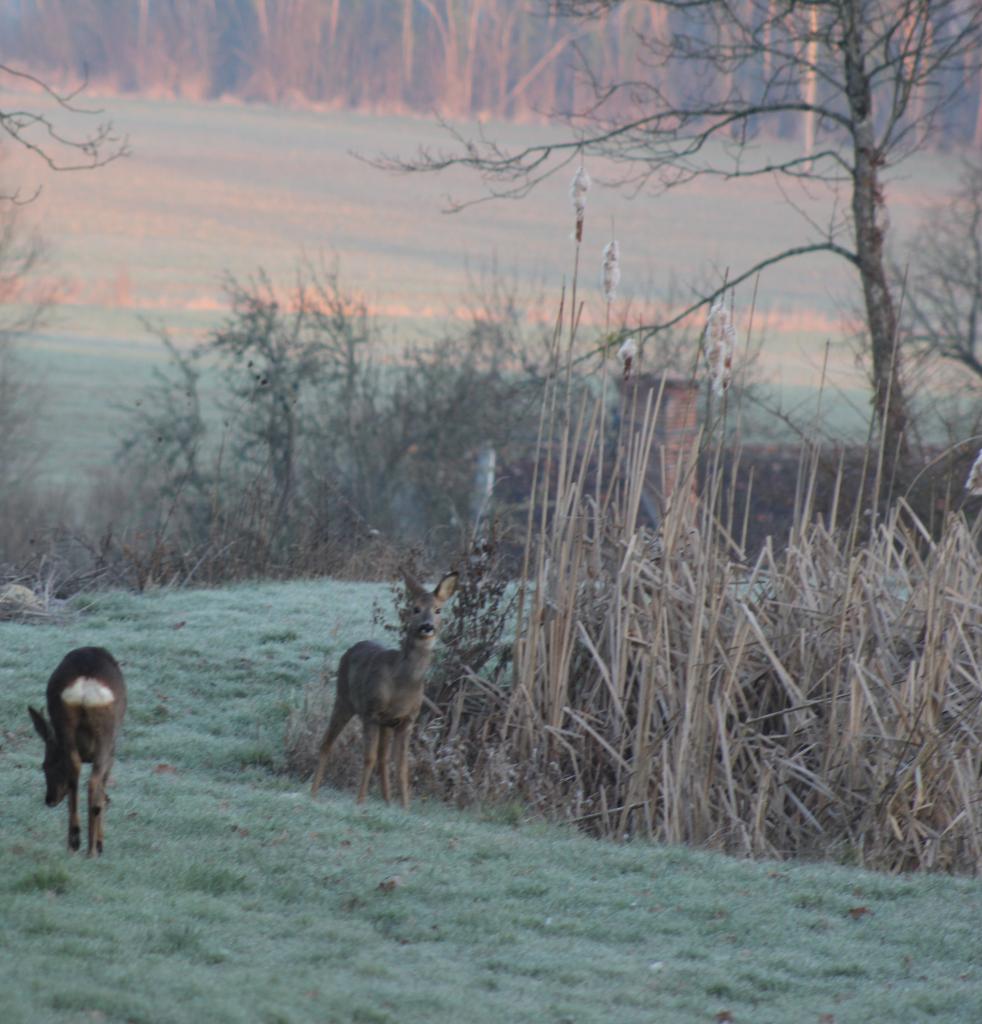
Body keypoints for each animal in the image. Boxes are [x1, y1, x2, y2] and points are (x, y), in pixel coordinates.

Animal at [28, 647, 127, 856]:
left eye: (44, 765)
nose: (49, 799)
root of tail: (86, 686)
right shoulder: (112, 754)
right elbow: (104, 791)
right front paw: (100, 842)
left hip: (65, 721)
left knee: (74, 770)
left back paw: (74, 840)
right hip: (106, 735)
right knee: (94, 786)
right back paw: (91, 849)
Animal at [309, 569, 458, 806]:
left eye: (438, 609)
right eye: (415, 608)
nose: (427, 626)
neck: (402, 683)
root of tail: (352, 648)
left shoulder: (407, 719)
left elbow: (402, 765)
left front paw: (405, 807)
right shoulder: (371, 711)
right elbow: (368, 758)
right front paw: (359, 801)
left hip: (386, 723)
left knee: (382, 758)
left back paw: (388, 802)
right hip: (344, 699)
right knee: (327, 743)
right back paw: (312, 793)